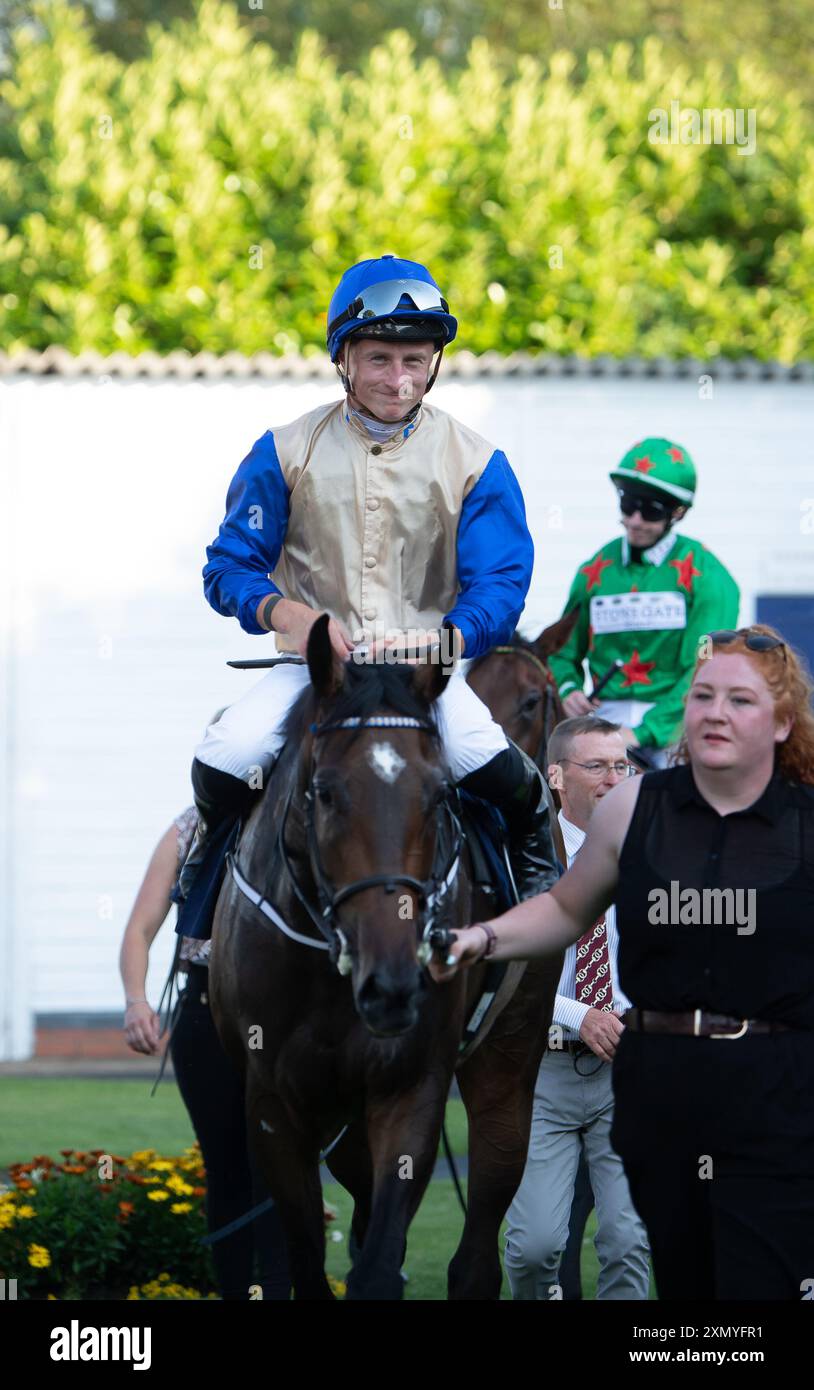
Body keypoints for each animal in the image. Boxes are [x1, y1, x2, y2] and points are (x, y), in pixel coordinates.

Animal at [209, 614, 563, 1295]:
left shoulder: (411, 1082)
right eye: (324, 793)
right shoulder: (271, 1105)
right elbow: (312, 1263)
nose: (395, 984)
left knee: (477, 1250)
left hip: (507, 1062)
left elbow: (377, 1265)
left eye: (440, 793)